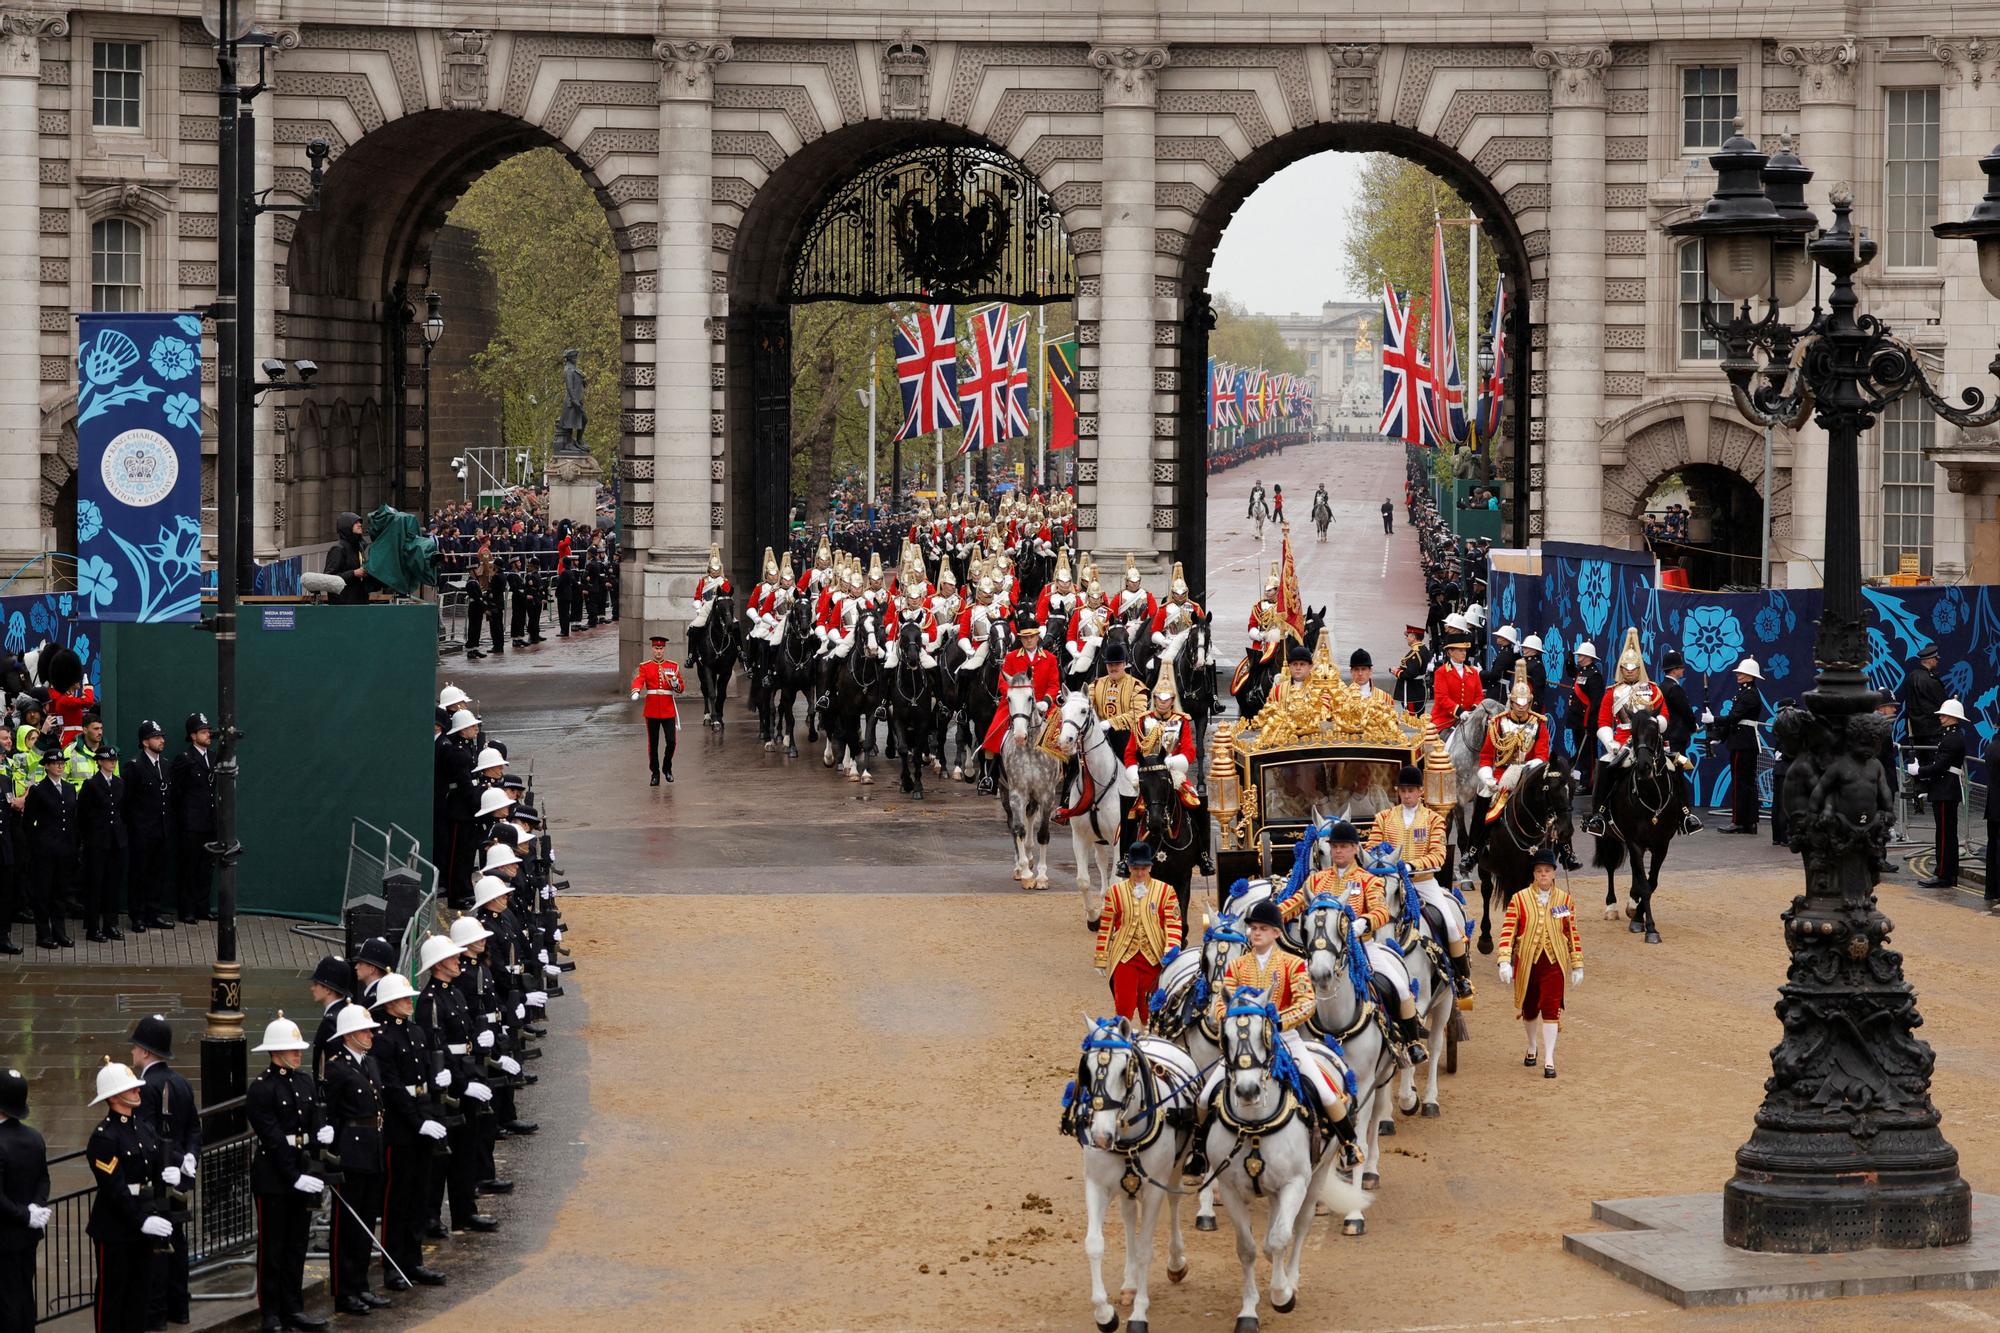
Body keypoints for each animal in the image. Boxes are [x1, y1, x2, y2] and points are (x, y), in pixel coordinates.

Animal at [1064, 1016, 1200, 1328]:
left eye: (1124, 1070)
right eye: (1087, 1070)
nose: (1101, 1137)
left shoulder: (1153, 1191)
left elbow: (1146, 1250)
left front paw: (1139, 1313)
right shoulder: (1096, 1185)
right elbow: (1094, 1244)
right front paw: (1104, 1313)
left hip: (1175, 1168)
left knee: (1174, 1202)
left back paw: (1175, 1262)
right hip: (1126, 1183)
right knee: (1128, 1218)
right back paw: (1129, 1283)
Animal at [1600, 700, 1680, 940]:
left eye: (1654, 731)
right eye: (1633, 733)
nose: (1644, 766)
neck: (1652, 795)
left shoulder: (1661, 845)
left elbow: (1651, 883)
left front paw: (1638, 916)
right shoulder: (1635, 842)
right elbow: (1645, 884)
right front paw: (1648, 927)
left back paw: (1632, 904)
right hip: (1609, 836)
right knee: (1610, 866)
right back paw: (1612, 907)